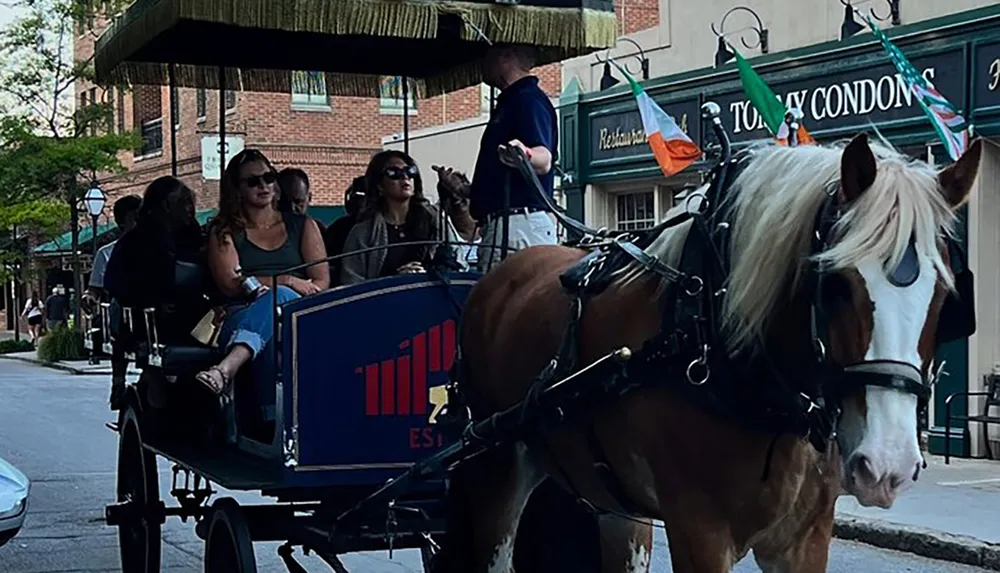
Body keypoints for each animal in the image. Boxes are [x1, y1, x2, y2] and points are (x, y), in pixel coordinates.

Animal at [438, 131, 984, 572]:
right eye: (835, 285)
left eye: (946, 296)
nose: (887, 464)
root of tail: (503, 271)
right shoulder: (699, 530)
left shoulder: (806, 538)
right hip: (496, 464)